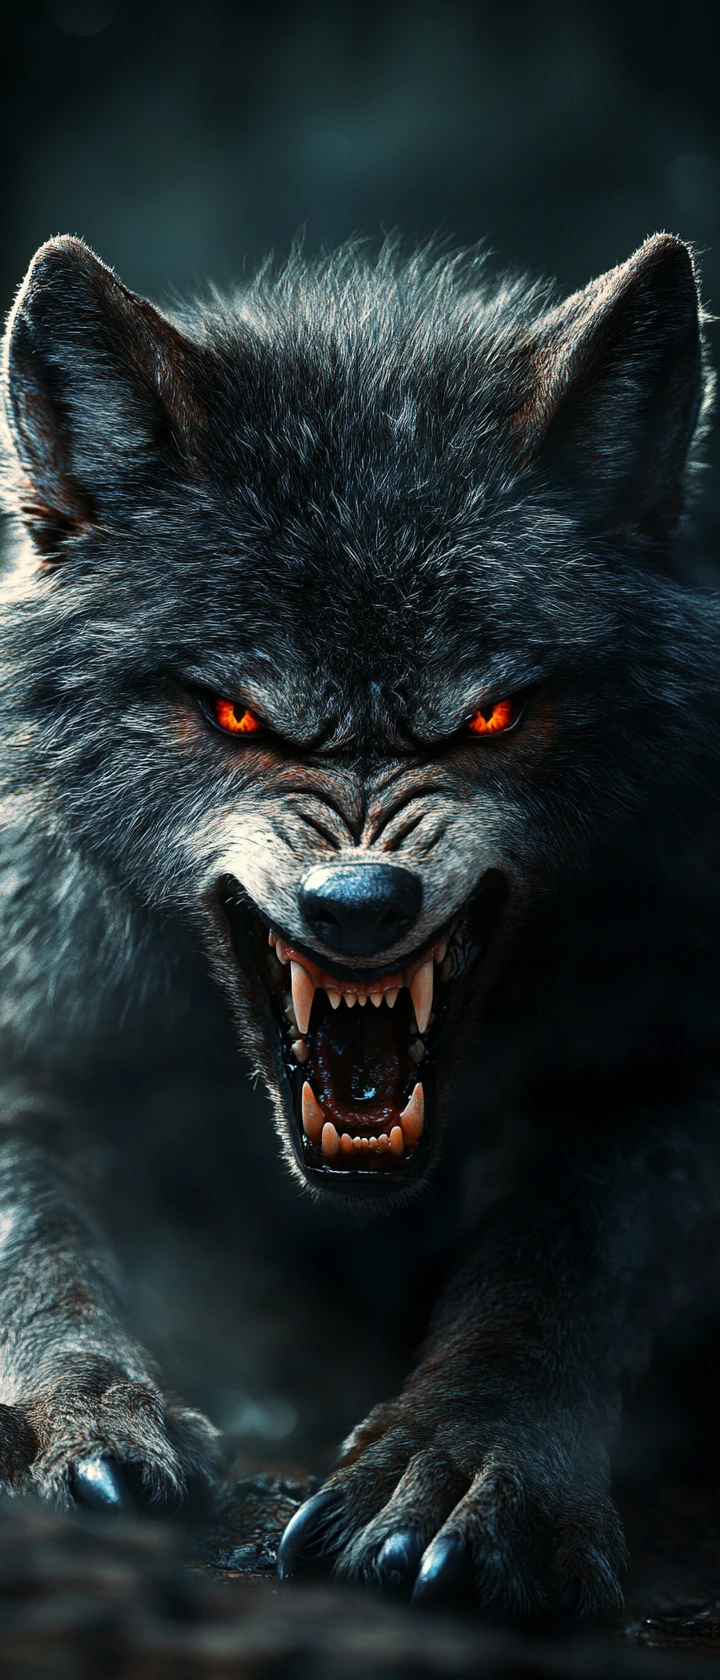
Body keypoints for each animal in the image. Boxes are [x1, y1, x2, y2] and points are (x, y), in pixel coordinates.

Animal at [0, 227, 717, 1618]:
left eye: (489, 717)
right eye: (237, 715)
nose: (361, 903)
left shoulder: (671, 1057)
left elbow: (567, 1255)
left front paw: (472, 1469)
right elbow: (36, 1238)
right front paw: (83, 1412)